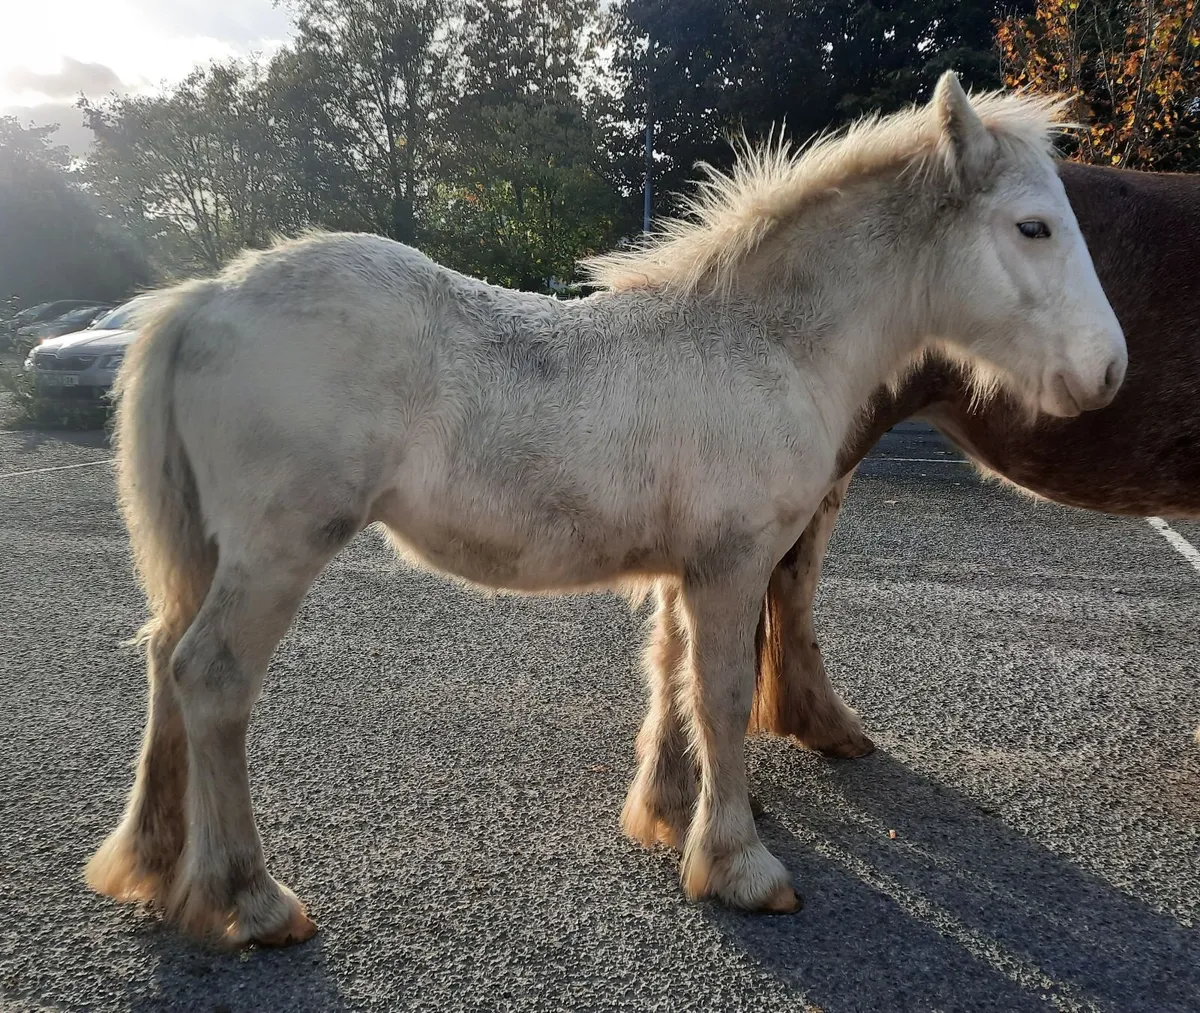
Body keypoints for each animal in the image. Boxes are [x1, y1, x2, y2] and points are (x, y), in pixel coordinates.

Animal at [85, 73, 1125, 947]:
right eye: (1035, 227)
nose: (1108, 372)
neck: (761, 340)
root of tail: (208, 294)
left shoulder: (686, 565)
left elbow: (668, 674)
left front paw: (667, 813)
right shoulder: (733, 563)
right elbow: (722, 692)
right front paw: (740, 865)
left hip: (211, 553)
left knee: (165, 660)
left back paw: (153, 864)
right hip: (278, 548)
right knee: (211, 677)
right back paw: (251, 899)